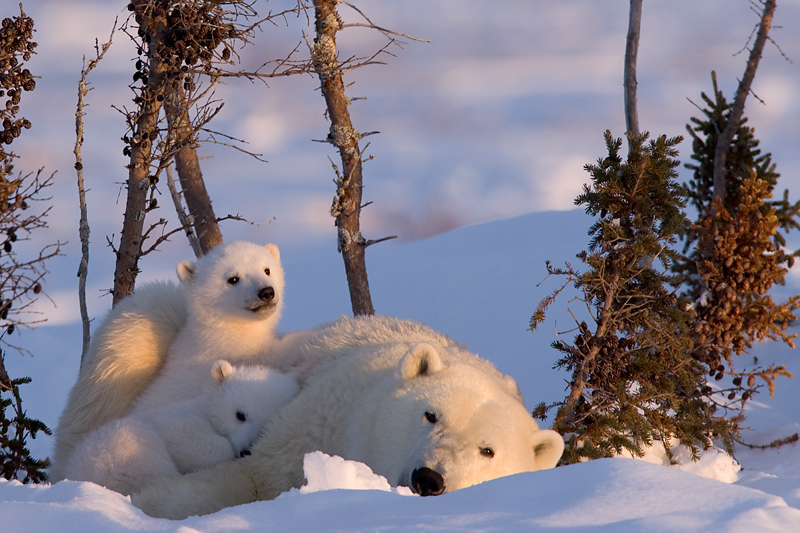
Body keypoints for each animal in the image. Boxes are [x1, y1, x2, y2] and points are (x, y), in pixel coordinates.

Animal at [62, 358, 298, 494]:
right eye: (240, 415)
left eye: (266, 423)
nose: (245, 451)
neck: (205, 410)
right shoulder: (174, 420)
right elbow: (185, 436)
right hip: (122, 448)